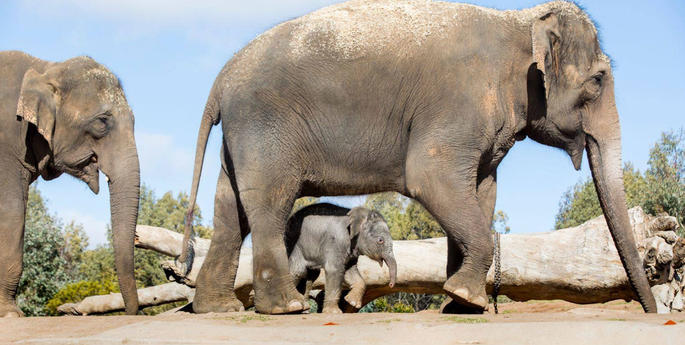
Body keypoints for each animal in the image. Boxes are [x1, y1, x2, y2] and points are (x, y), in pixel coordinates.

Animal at [0, 49, 140, 316]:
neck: (45, 68)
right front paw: (11, 314)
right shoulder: (7, 143)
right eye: (102, 122)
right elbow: (11, 210)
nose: (131, 312)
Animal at [178, 0, 656, 312]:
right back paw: (284, 307)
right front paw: (465, 296)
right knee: (268, 205)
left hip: (240, 137)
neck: (519, 21)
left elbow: (482, 192)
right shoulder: (458, 105)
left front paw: (462, 302)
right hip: (264, 128)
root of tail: (220, 79)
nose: (651, 311)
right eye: (598, 81)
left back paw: (217, 309)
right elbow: (431, 177)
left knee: (230, 211)